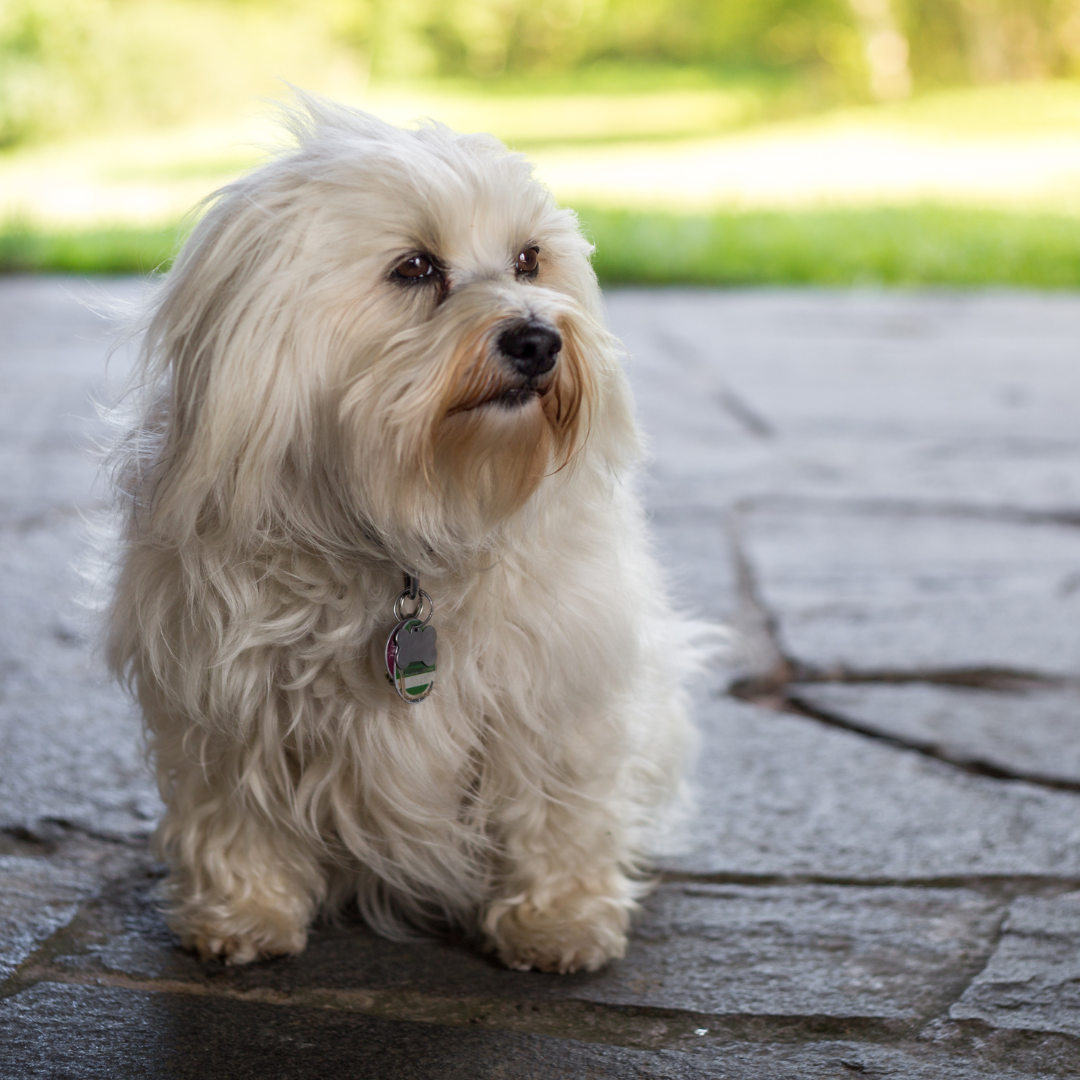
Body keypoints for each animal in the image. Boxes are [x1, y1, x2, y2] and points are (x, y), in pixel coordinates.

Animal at [105, 90, 704, 972]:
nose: (538, 339)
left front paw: (557, 923)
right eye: (416, 268)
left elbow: (556, 810)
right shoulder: (224, 697)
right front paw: (243, 913)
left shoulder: (555, 691)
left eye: (528, 259)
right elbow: (235, 811)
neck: (417, 516)